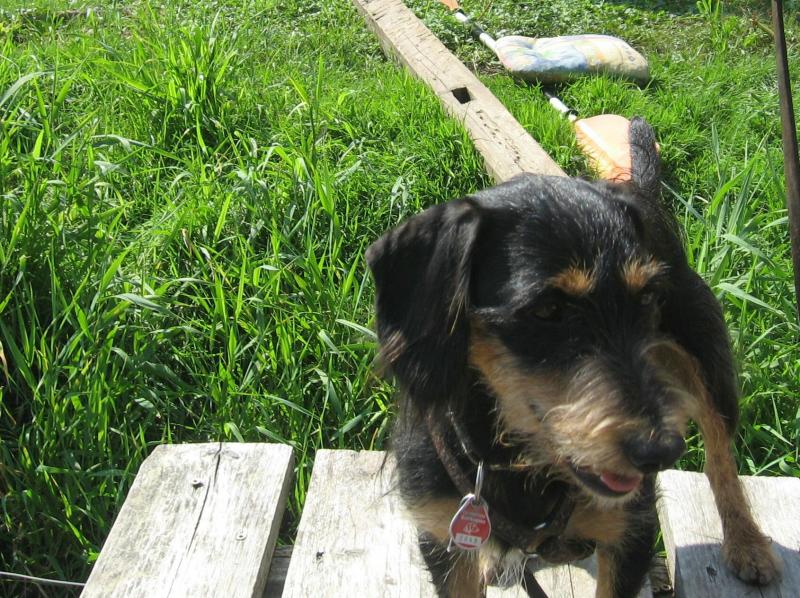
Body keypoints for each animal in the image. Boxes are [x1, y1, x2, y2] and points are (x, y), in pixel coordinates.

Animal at [365, 118, 781, 597]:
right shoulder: (442, 533)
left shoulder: (633, 530)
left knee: (720, 453)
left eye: (647, 298)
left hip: (706, 359)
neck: (518, 461)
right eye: (547, 309)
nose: (661, 451)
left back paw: (746, 543)